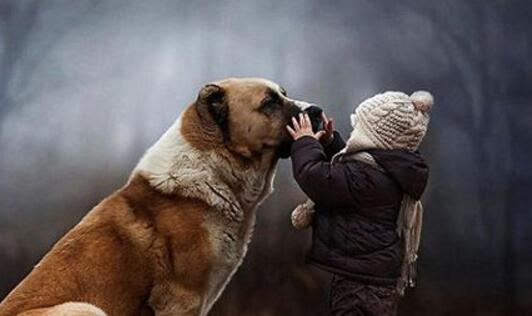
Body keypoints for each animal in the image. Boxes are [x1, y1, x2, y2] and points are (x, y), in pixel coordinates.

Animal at [0, 77, 324, 316]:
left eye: (283, 94)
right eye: (269, 102)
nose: (318, 111)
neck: (214, 168)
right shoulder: (181, 299)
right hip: (83, 308)